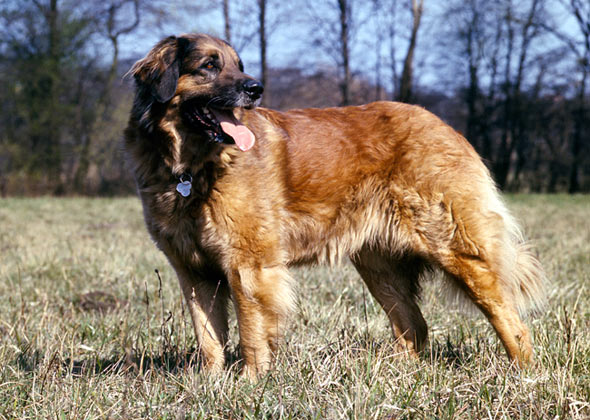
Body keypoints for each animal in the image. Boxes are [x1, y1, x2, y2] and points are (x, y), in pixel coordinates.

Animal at [126, 33, 552, 378]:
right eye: (210, 66)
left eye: (237, 66)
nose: (255, 88)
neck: (190, 167)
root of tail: (445, 126)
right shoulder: (193, 271)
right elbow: (208, 336)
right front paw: (212, 382)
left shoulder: (248, 266)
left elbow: (251, 330)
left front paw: (250, 381)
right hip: (379, 265)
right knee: (414, 326)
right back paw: (392, 371)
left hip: (457, 249)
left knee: (510, 320)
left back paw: (523, 373)